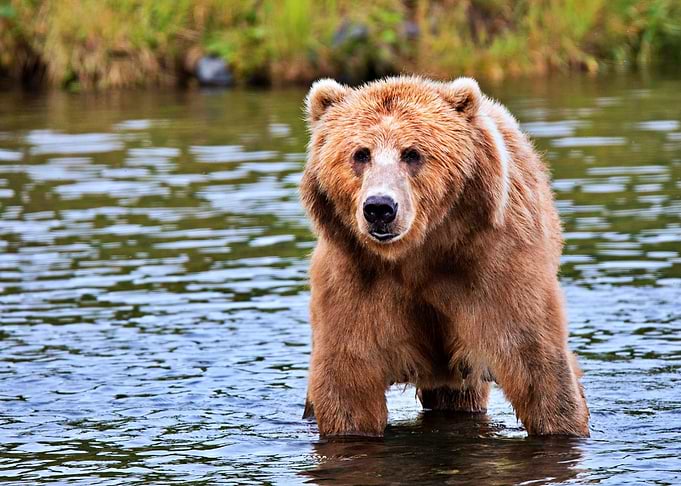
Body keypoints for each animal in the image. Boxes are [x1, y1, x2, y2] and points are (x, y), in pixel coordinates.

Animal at [299, 75, 590, 438]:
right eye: (360, 154)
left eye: (412, 154)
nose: (380, 208)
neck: (418, 253)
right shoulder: (355, 279)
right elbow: (348, 381)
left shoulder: (494, 267)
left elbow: (537, 363)